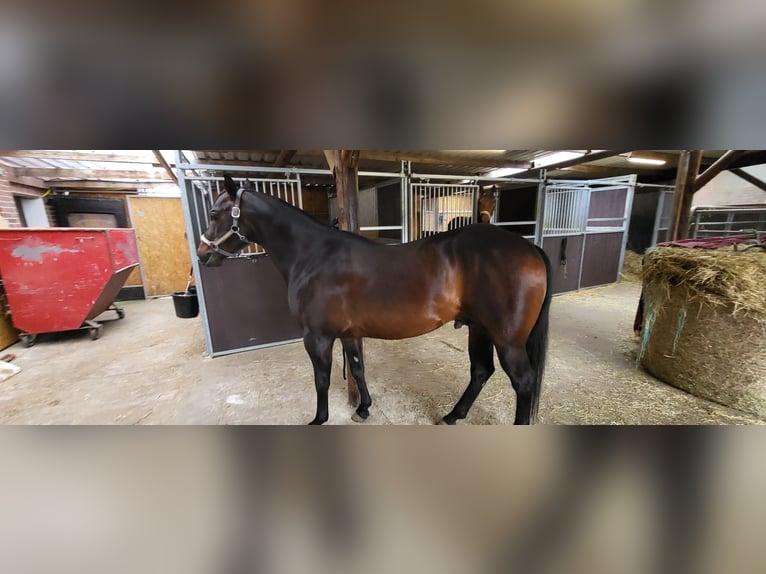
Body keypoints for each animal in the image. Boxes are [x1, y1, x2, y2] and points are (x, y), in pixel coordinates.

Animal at [197, 175, 552, 425]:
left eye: (214, 212)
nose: (201, 254)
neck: (313, 255)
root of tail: (529, 247)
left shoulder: (317, 337)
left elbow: (322, 379)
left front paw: (319, 419)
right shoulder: (348, 334)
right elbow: (357, 368)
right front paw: (364, 409)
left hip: (507, 340)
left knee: (522, 382)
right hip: (478, 328)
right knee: (480, 371)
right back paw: (452, 416)